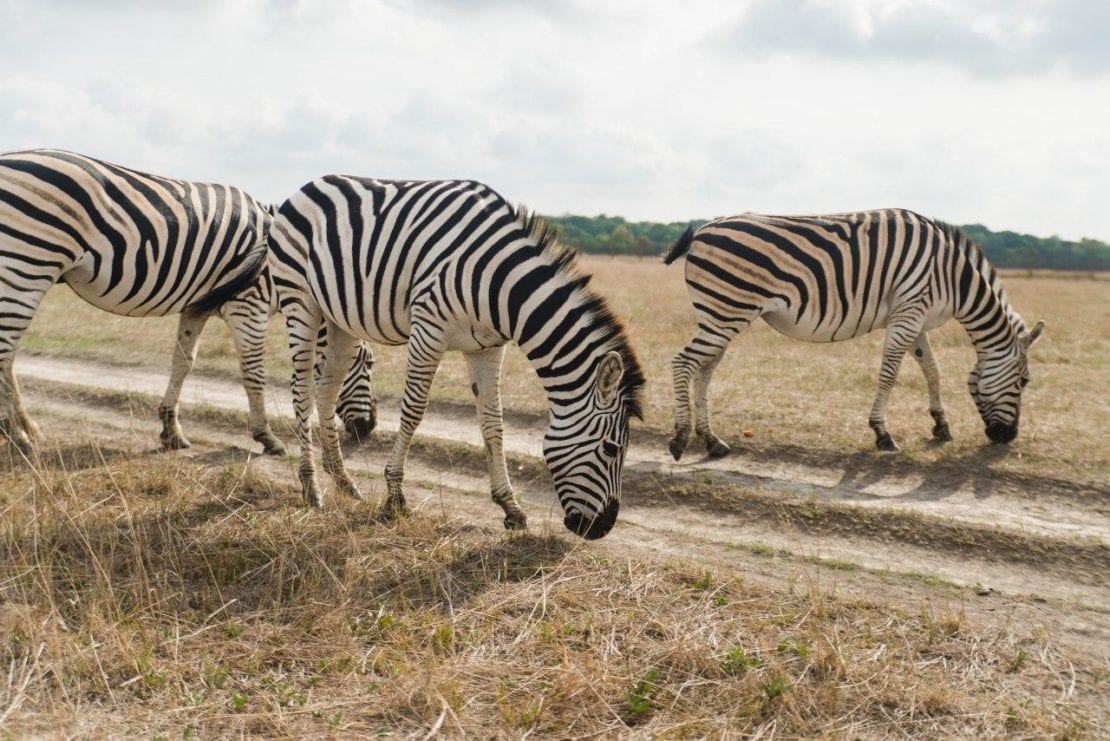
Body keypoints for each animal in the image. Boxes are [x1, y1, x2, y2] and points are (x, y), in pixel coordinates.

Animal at [0, 147, 375, 454]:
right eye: (367, 362)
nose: (368, 429)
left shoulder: (198, 306)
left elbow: (182, 362)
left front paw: (171, 431)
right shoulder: (249, 305)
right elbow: (254, 372)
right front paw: (266, 438)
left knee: (11, 356)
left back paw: (29, 429)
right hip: (26, 265)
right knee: (5, 352)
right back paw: (17, 436)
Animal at [269, 177, 648, 541]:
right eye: (611, 449)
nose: (601, 528)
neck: (501, 286)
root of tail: (308, 186)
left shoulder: (487, 347)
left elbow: (493, 423)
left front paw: (511, 508)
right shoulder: (428, 330)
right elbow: (413, 411)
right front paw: (395, 497)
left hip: (339, 320)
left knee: (326, 391)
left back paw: (344, 481)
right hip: (301, 302)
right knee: (302, 392)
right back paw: (311, 487)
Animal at [661, 205, 1043, 454]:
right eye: (1024, 381)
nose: (1007, 437)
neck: (953, 277)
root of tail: (705, 228)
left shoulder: (915, 317)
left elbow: (932, 370)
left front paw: (940, 425)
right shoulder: (908, 313)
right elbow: (889, 374)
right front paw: (882, 433)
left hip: (721, 314)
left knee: (704, 369)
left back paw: (712, 441)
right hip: (726, 312)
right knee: (683, 362)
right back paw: (680, 438)